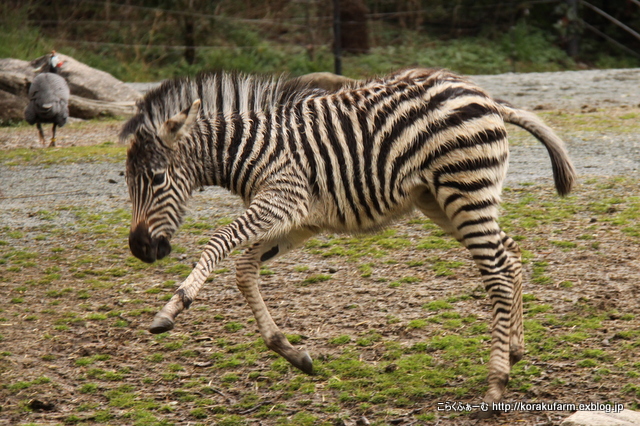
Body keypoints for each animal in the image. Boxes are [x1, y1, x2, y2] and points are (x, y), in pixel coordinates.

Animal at [120, 67, 576, 410]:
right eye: (126, 180)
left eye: (157, 179)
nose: (139, 249)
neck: (249, 149)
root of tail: (485, 96)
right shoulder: (300, 219)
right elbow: (245, 268)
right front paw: (290, 351)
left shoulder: (283, 199)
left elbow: (219, 242)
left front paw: (172, 308)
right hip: (441, 202)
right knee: (510, 256)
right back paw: (515, 350)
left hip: (465, 192)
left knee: (497, 272)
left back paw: (497, 380)